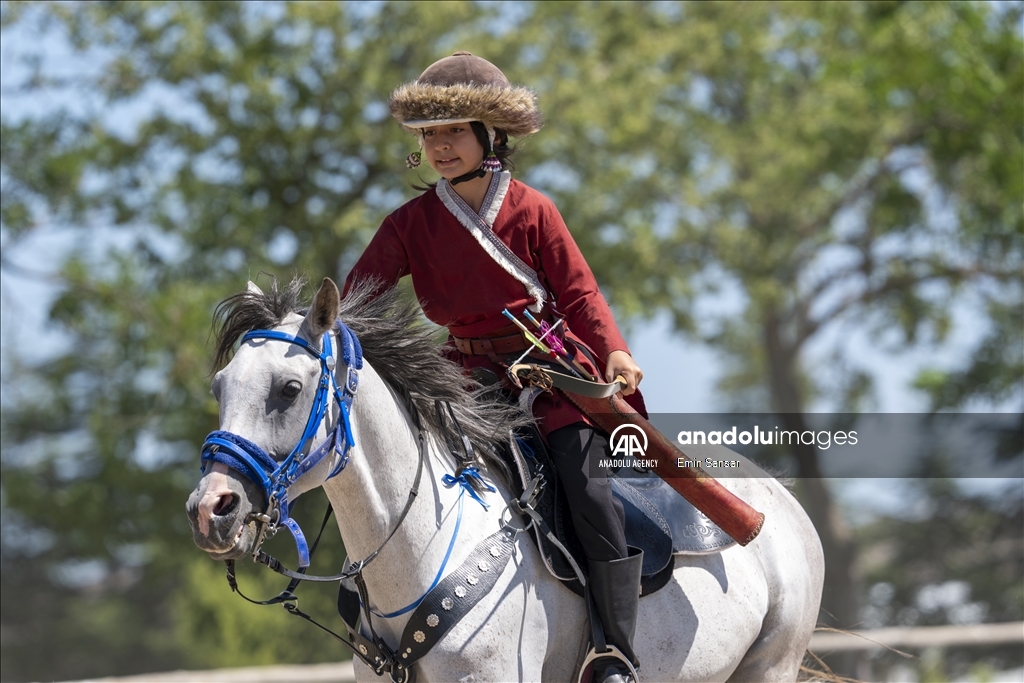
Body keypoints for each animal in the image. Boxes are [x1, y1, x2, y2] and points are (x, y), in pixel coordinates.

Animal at [184, 278, 823, 683]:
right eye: (219, 386)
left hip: (771, 668)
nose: (212, 509)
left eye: (289, 389)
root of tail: (784, 504)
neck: (427, 544)